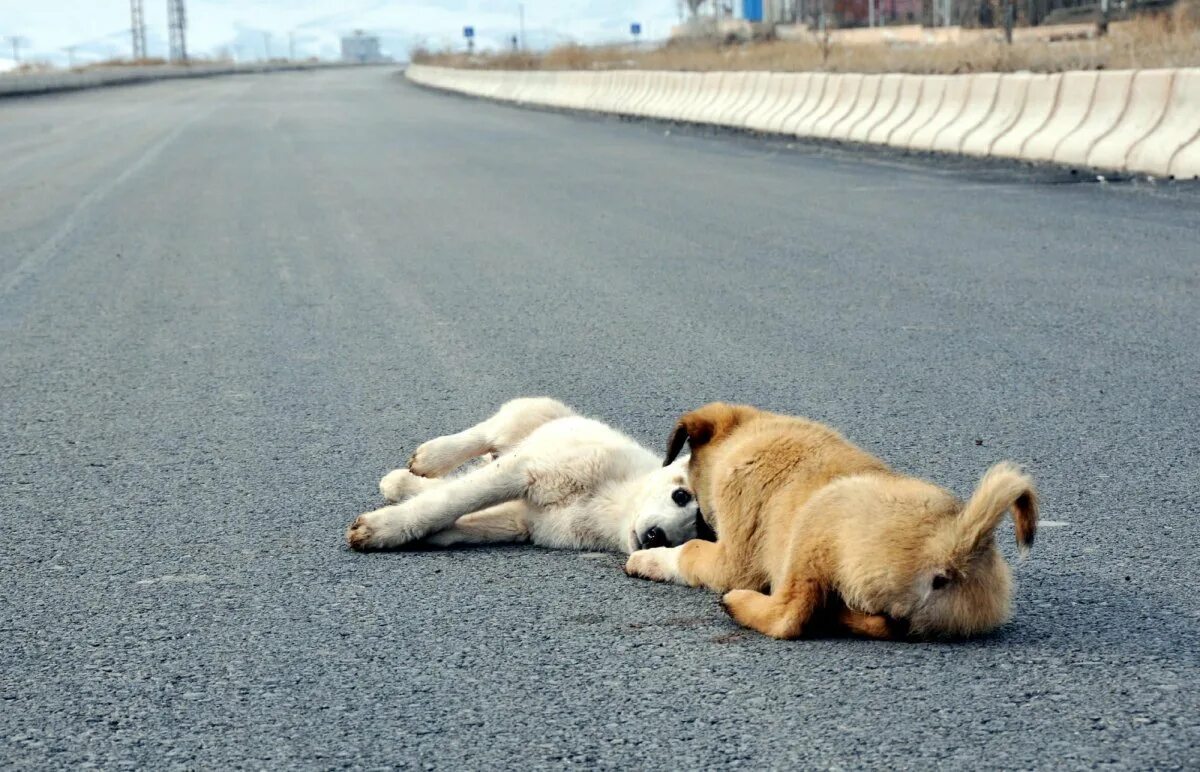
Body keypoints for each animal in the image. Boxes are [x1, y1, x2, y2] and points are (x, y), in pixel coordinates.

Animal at [343, 398, 710, 554]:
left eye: (704, 534)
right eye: (681, 495)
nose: (658, 537)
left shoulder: (522, 521)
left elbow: (459, 519)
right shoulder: (525, 471)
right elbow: (449, 502)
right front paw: (382, 528)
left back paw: (401, 483)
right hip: (529, 416)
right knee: (483, 435)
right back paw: (428, 457)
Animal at [624, 405, 1036, 638]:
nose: (653, 535)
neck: (748, 437)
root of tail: (957, 542)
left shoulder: (734, 559)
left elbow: (691, 551)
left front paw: (649, 558)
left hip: (817, 517)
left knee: (790, 616)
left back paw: (739, 604)